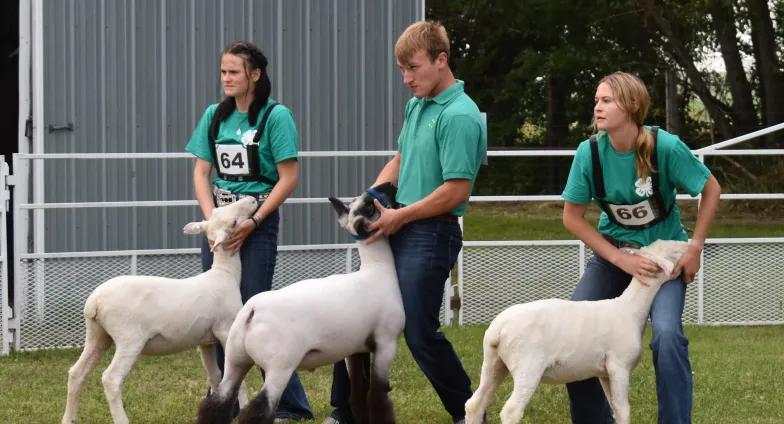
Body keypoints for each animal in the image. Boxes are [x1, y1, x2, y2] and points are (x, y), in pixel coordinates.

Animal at [62, 195, 258, 424]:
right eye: (234, 223)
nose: (253, 199)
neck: (224, 273)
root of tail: (94, 302)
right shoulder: (226, 330)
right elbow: (236, 380)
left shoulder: (205, 340)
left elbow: (215, 377)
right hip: (129, 338)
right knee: (111, 379)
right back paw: (122, 419)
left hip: (97, 335)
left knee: (77, 373)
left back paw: (68, 419)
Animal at [196, 181, 404, 424]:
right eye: (370, 205)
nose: (389, 184)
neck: (377, 270)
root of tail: (252, 311)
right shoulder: (386, 342)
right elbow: (378, 396)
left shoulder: (355, 348)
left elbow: (358, 394)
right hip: (280, 365)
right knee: (258, 409)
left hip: (235, 357)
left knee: (217, 402)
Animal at [462, 238, 688, 424]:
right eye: (675, 251)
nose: (690, 245)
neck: (630, 309)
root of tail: (497, 330)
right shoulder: (619, 365)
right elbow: (624, 410)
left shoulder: (605, 372)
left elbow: (615, 408)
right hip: (527, 364)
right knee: (511, 411)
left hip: (493, 361)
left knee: (475, 403)